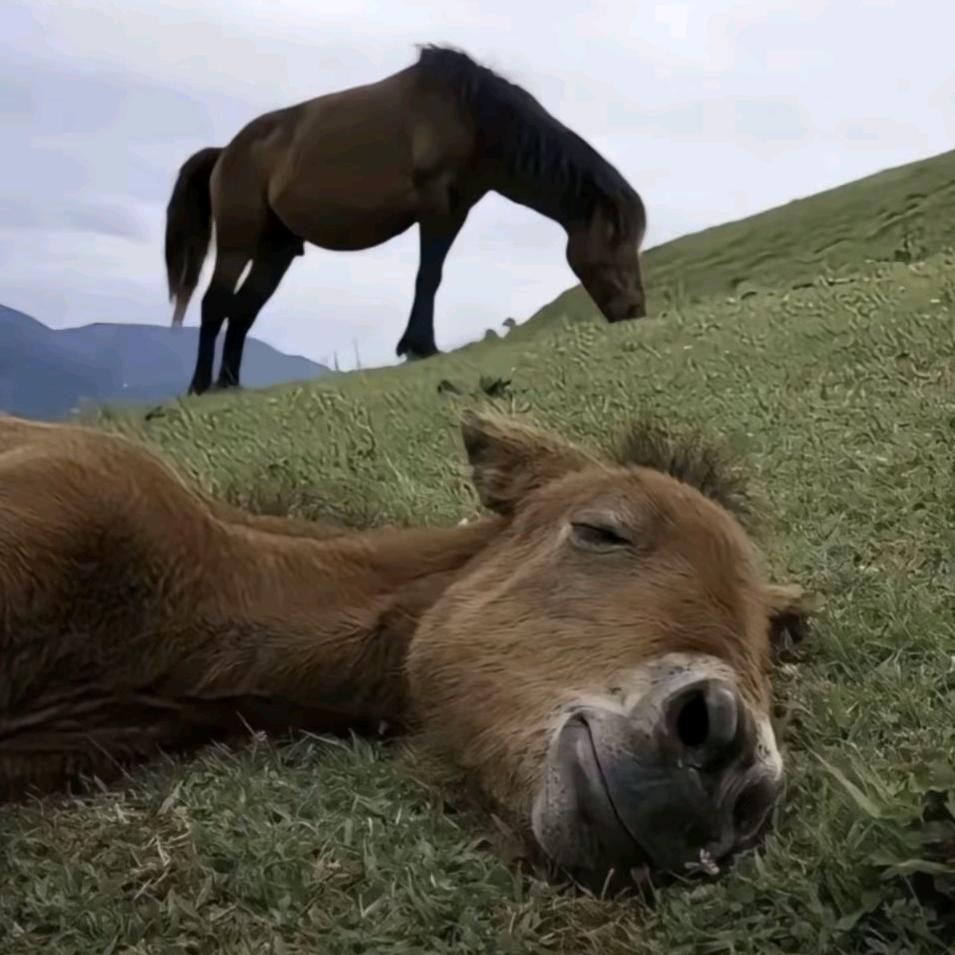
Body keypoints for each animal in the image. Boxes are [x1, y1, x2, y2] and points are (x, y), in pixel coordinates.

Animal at [163, 45, 648, 396]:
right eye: (616, 244)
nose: (635, 311)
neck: (474, 119)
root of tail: (225, 152)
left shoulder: (455, 213)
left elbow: (432, 275)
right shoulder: (435, 210)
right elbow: (427, 275)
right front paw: (419, 346)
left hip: (276, 249)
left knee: (243, 309)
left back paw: (229, 383)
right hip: (237, 241)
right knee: (215, 304)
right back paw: (200, 385)